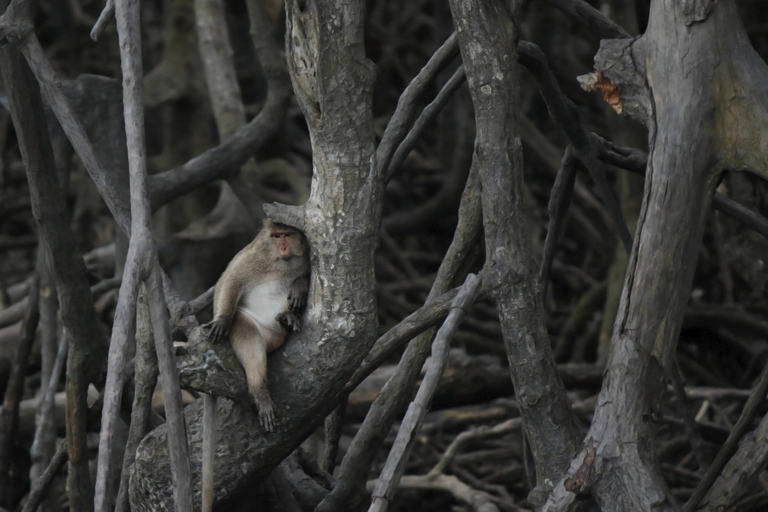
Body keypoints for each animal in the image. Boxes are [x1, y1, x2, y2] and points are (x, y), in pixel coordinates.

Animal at [201, 219, 308, 512]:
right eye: (276, 236)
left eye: (288, 235)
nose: (283, 247)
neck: (282, 263)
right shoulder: (254, 257)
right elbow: (230, 280)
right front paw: (222, 319)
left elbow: (305, 276)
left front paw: (298, 288)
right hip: (251, 328)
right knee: (246, 333)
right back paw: (260, 391)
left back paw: (288, 319)